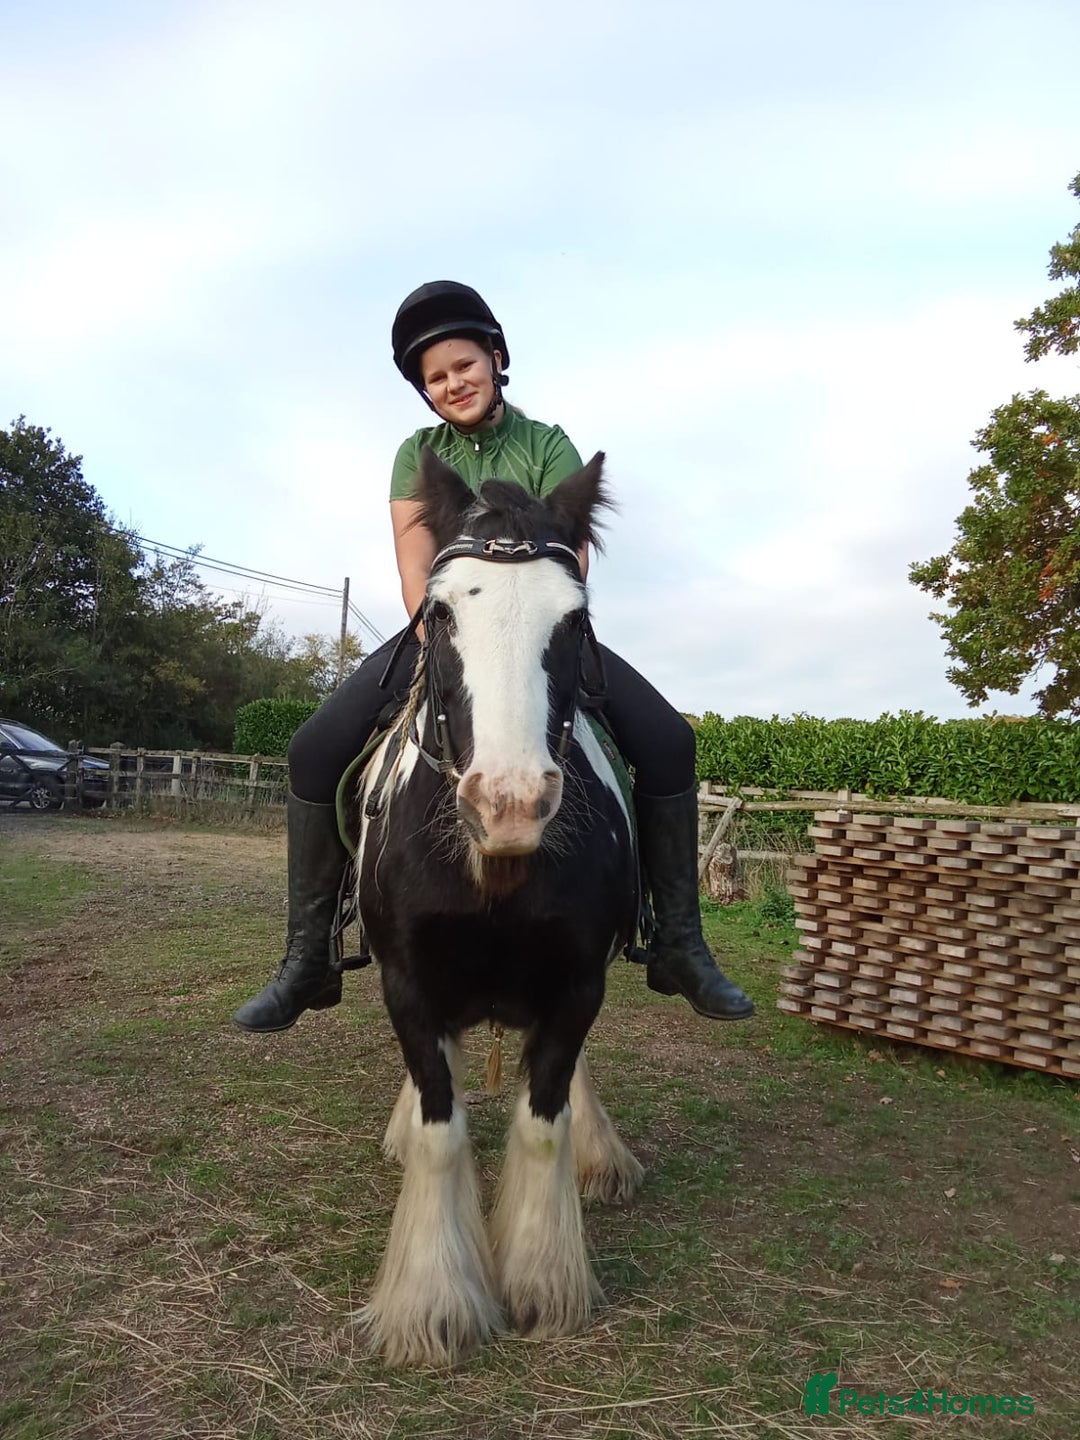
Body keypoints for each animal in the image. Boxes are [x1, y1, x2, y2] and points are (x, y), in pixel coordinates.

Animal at [354, 446, 644, 1368]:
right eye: (441, 613)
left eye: (574, 622)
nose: (509, 804)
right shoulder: (408, 985)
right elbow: (441, 1130)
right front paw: (434, 1304)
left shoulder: (579, 983)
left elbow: (543, 1120)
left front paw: (544, 1283)